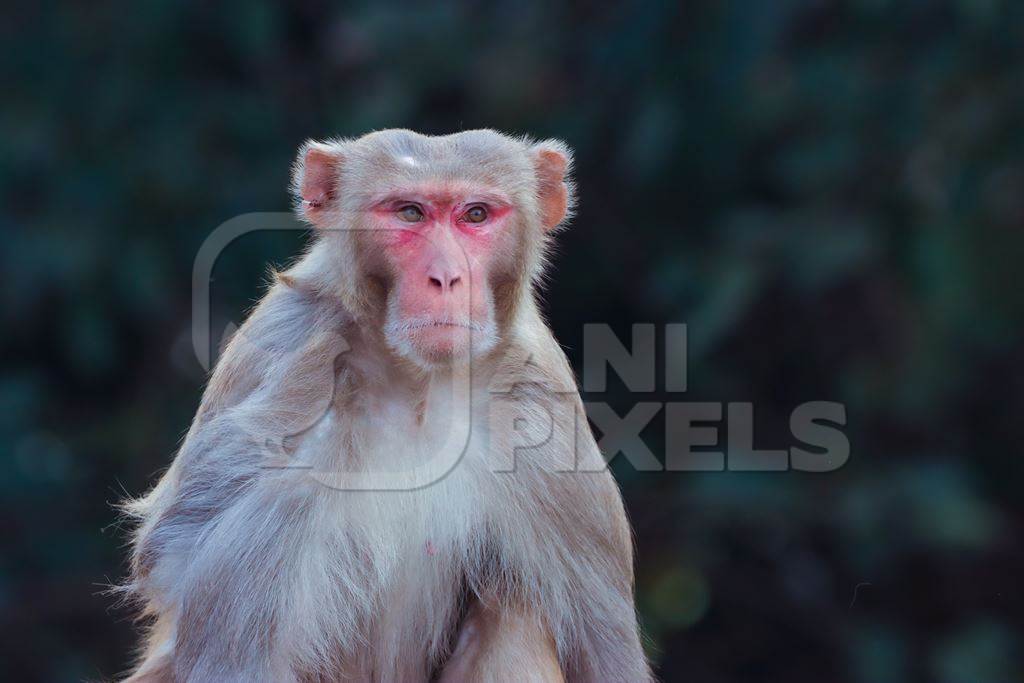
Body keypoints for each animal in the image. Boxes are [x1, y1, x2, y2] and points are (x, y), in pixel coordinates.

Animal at [117, 129, 647, 683]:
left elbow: (606, 656)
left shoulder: (543, 413)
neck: (420, 387)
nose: (447, 277)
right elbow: (179, 550)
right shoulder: (287, 355)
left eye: (476, 214)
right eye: (410, 213)